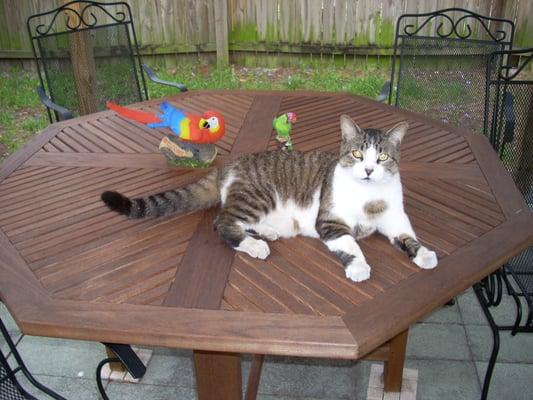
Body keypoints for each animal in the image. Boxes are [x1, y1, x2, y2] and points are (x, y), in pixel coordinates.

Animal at [101, 114, 436, 282]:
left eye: (382, 157)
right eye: (357, 154)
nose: (367, 170)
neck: (369, 197)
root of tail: (229, 165)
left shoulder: (395, 219)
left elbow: (408, 237)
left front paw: (423, 254)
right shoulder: (330, 222)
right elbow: (352, 245)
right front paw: (359, 267)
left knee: (238, 220)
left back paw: (268, 232)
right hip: (258, 196)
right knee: (223, 223)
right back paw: (253, 245)